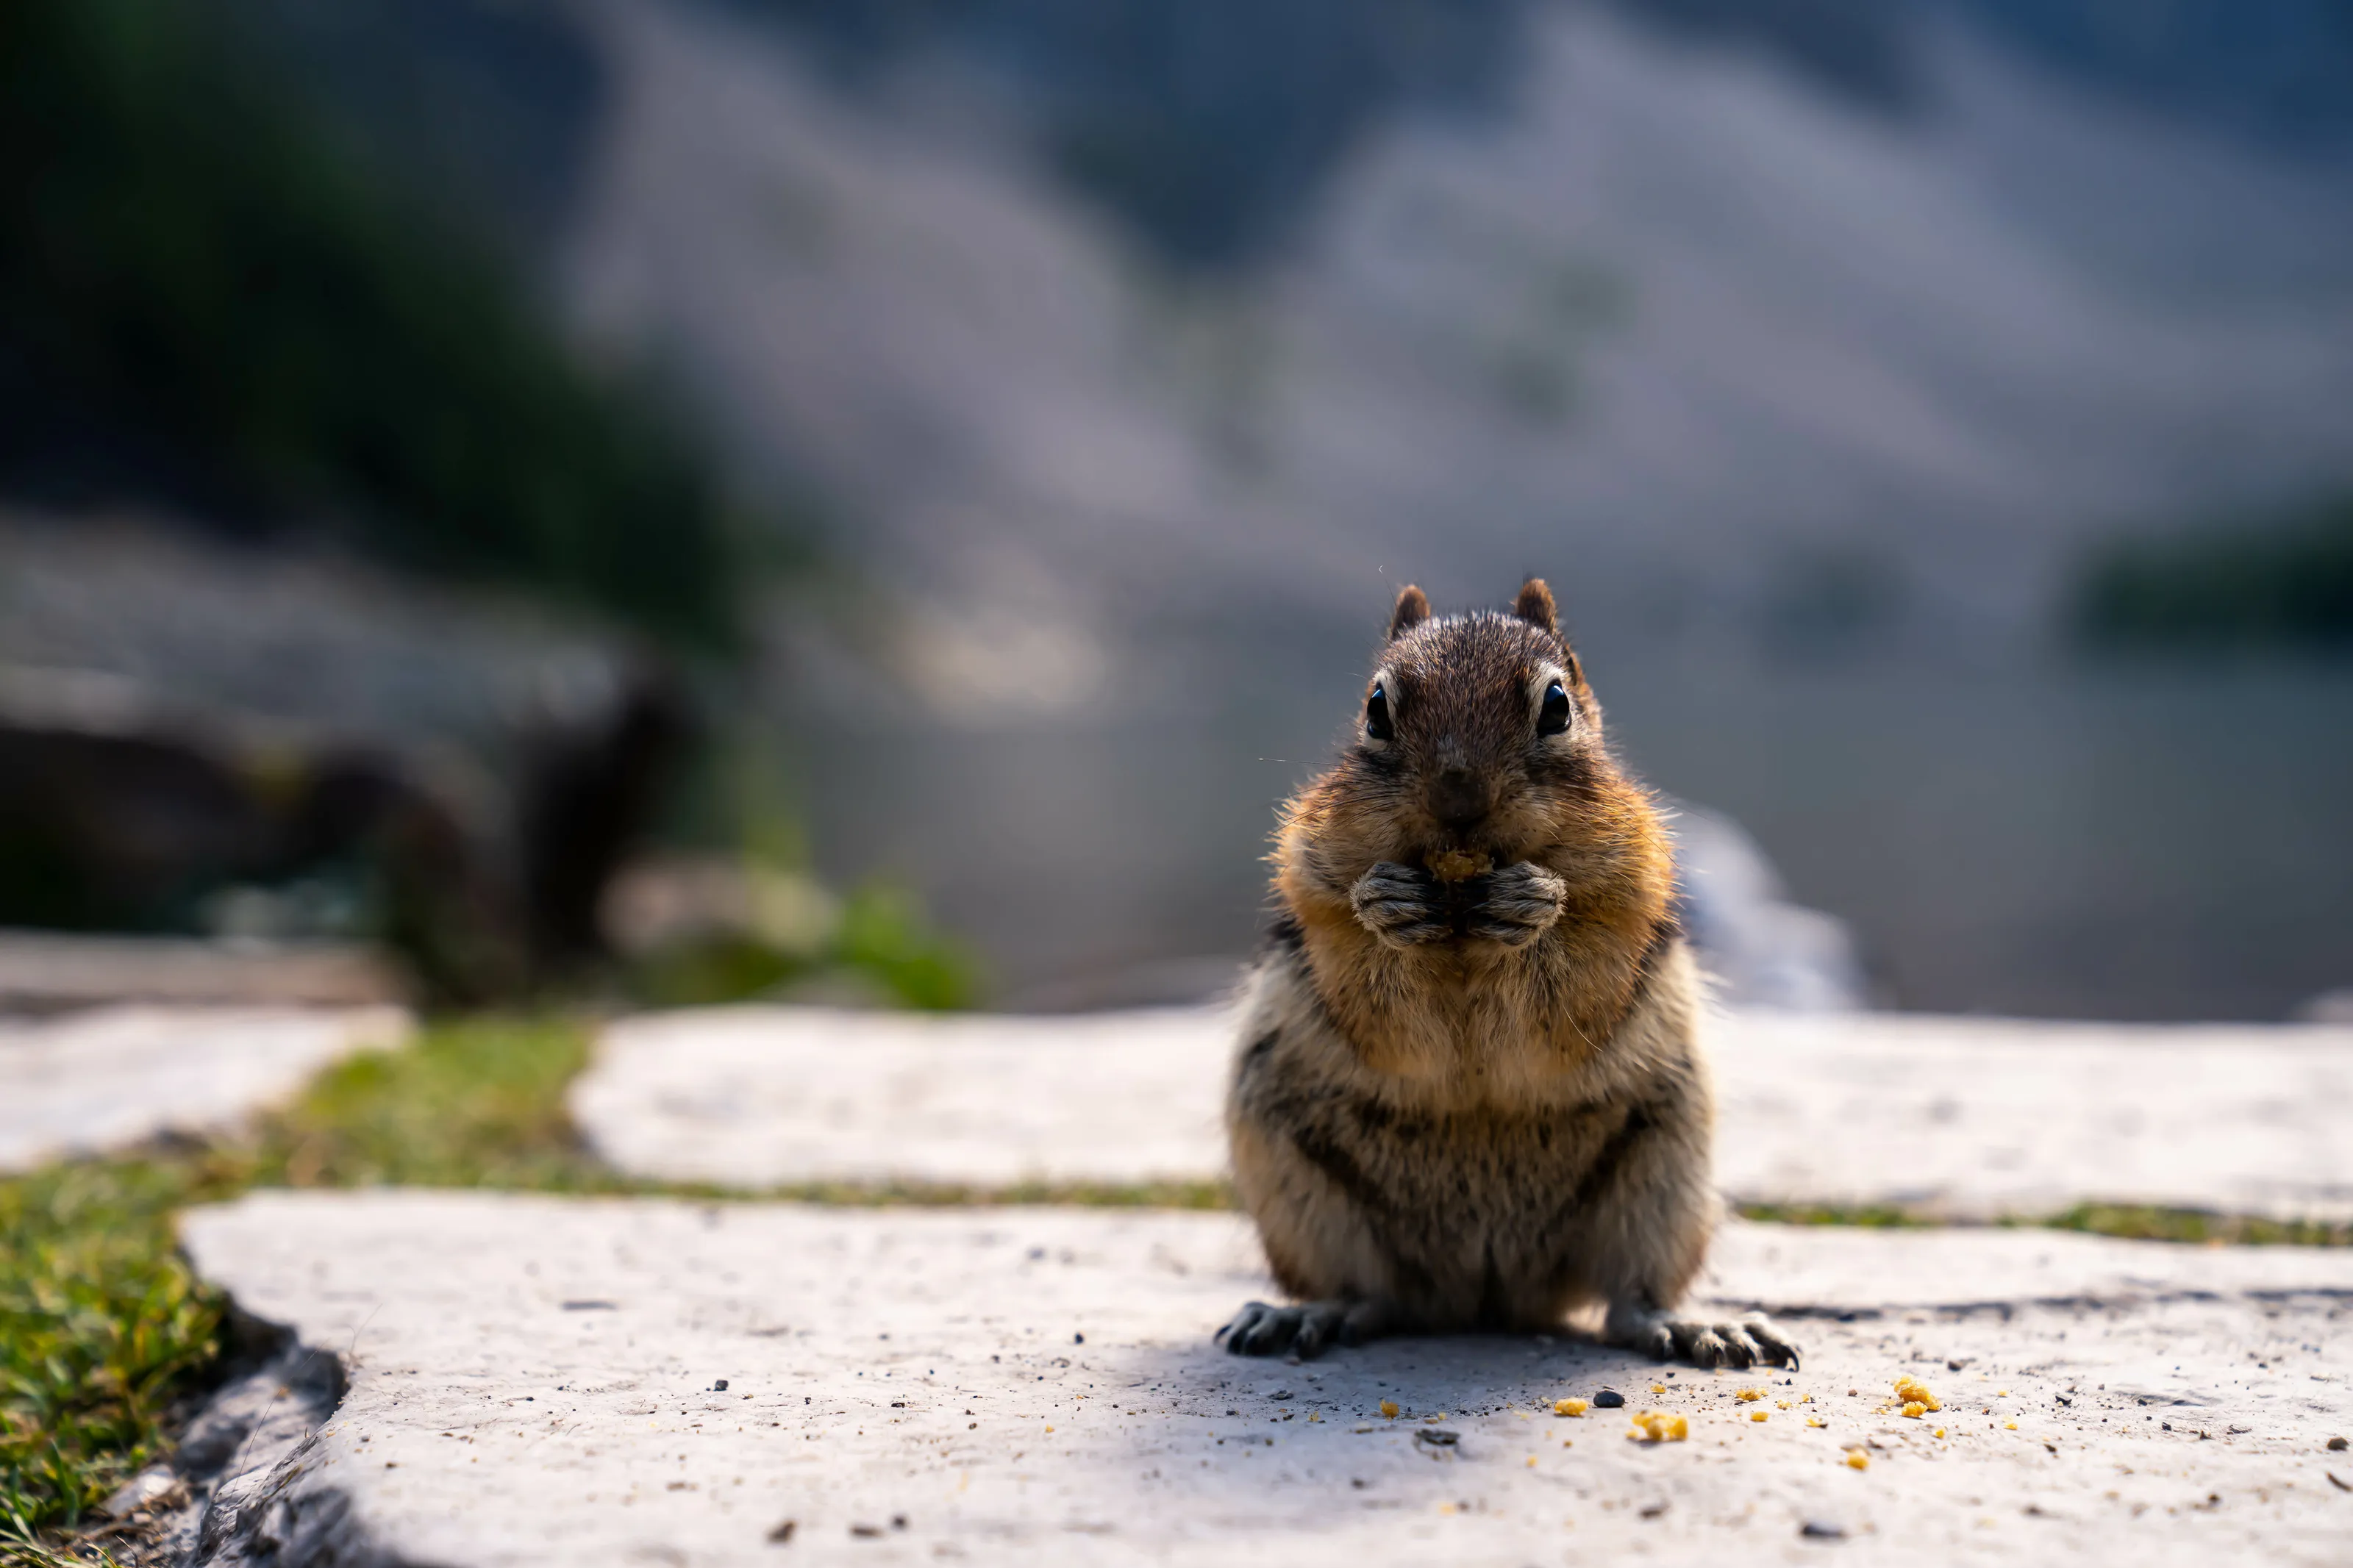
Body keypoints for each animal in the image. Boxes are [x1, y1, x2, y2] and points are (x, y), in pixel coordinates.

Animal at [1217, 578, 1798, 1371]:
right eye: (1376, 708)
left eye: (1556, 706)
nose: (1459, 800)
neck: (1460, 920)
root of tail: (1481, 1291)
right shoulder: (1313, 891)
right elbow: (1373, 1000)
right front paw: (1384, 906)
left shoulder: (1629, 896)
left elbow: (1575, 987)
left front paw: (1535, 903)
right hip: (1294, 1182)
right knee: (1369, 1294)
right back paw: (1309, 1313)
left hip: (1666, 1174)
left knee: (1628, 1298)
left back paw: (1692, 1326)